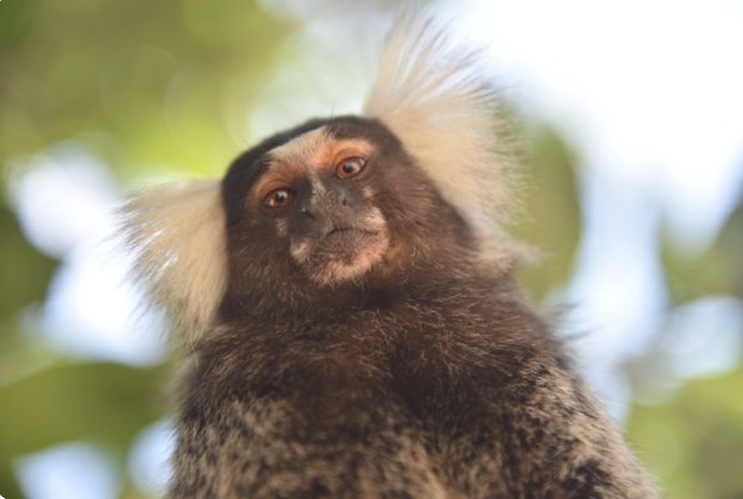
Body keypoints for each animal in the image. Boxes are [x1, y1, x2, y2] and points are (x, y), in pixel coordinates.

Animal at [122, 17, 660, 499]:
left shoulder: (514, 355)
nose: (324, 205)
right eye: (280, 198)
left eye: (349, 168)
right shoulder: (251, 407)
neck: (372, 314)